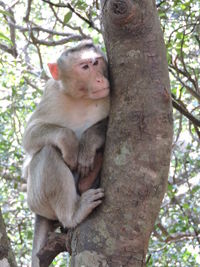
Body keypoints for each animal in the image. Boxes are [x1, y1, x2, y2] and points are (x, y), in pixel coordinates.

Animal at [22, 40, 110, 267]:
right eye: (85, 67)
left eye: (96, 62)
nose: (99, 78)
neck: (81, 97)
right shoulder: (52, 93)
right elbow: (30, 136)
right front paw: (69, 142)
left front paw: (89, 142)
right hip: (36, 199)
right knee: (46, 153)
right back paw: (73, 213)